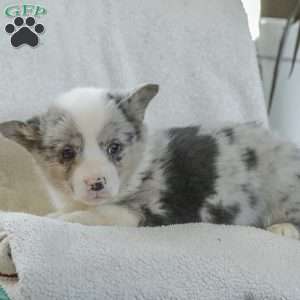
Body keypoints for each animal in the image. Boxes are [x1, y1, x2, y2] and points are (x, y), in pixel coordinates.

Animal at [1, 82, 300, 239]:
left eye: (115, 147)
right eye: (67, 153)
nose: (96, 183)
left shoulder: (150, 210)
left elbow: (100, 214)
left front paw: (67, 217)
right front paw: (56, 214)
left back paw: (282, 228)